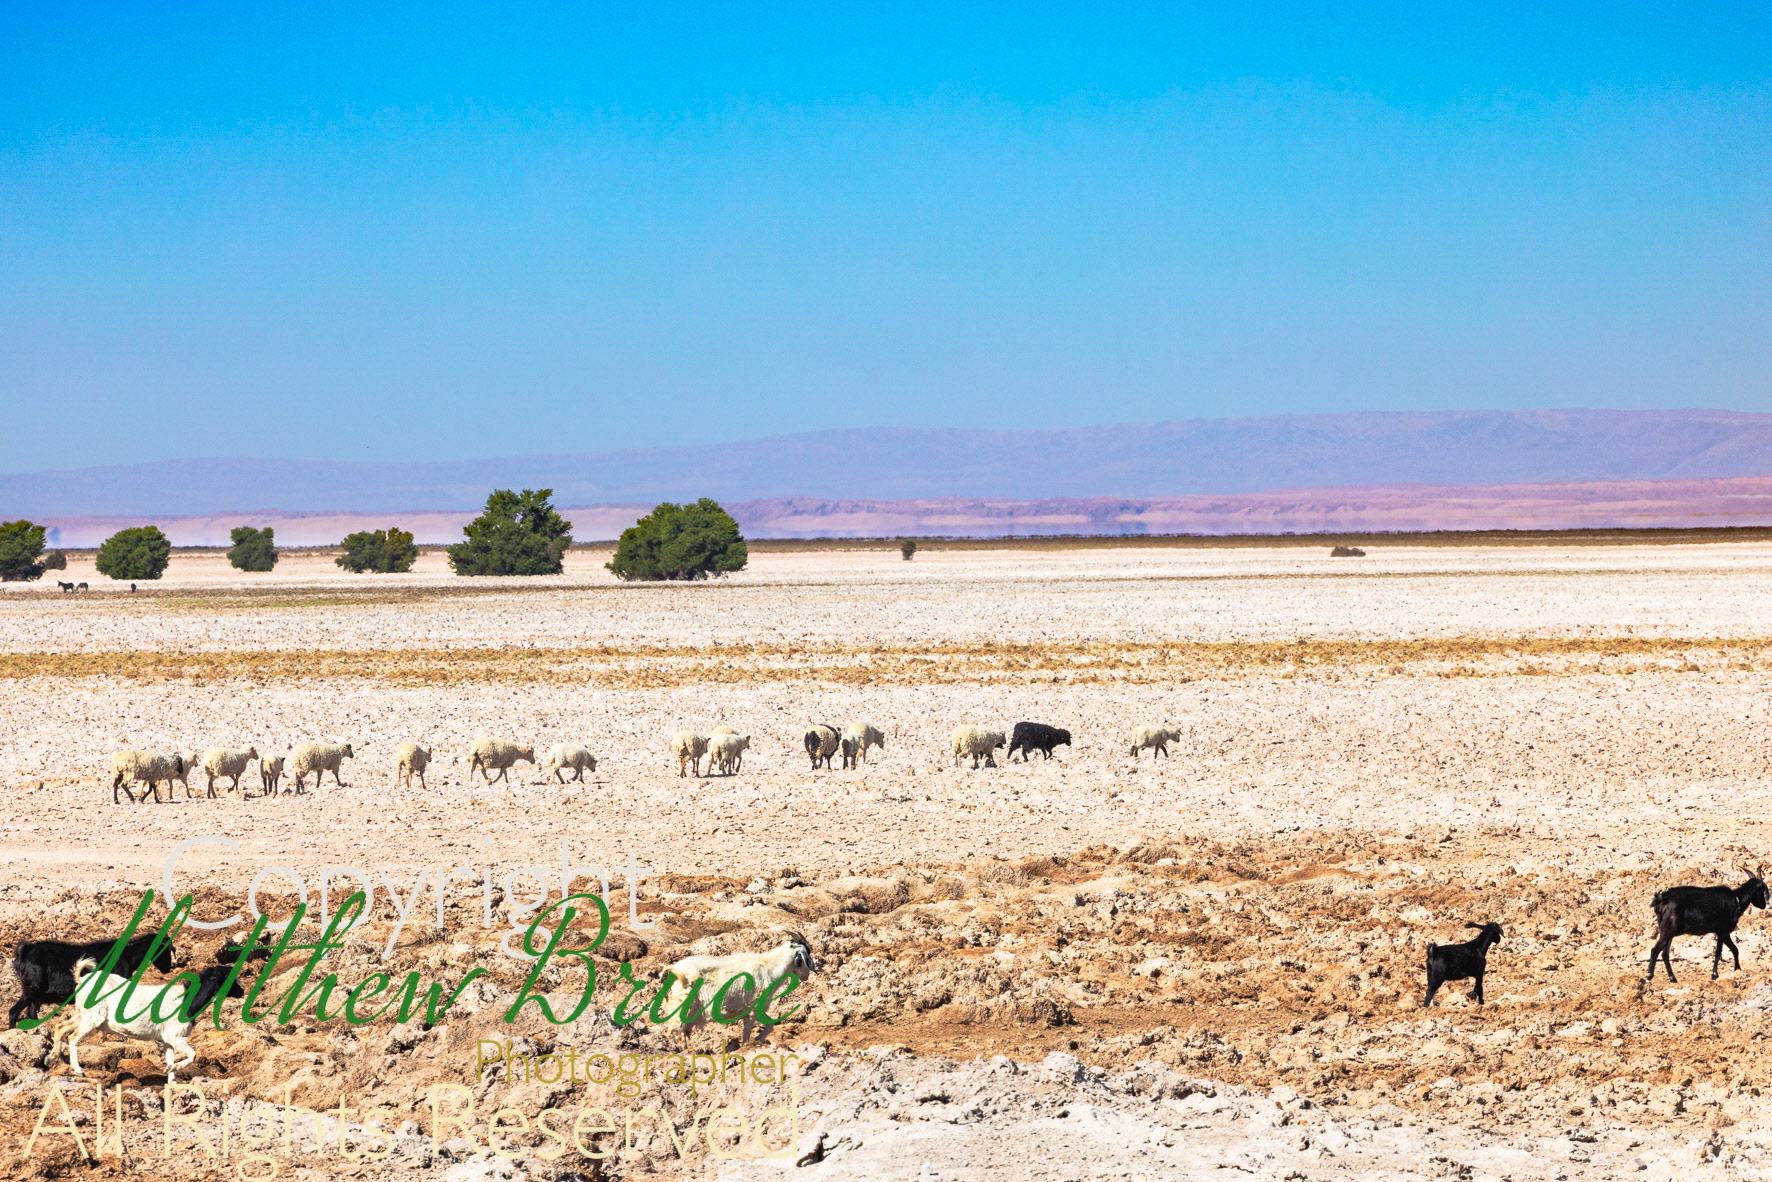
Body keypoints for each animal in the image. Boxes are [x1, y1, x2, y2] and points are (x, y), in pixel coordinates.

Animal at [9, 933, 174, 1028]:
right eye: (166, 949)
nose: (168, 969)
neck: (127, 955)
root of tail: (26, 951)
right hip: (32, 988)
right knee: (13, 1011)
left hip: (37, 994)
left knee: (31, 1012)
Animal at [659, 933, 816, 1048]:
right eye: (805, 957)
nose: (807, 976)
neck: (769, 968)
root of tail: (677, 971)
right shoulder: (752, 1008)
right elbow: (748, 1033)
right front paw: (749, 1044)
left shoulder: (755, 1009)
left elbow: (770, 1024)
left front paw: (758, 1039)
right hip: (683, 1007)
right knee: (675, 1032)